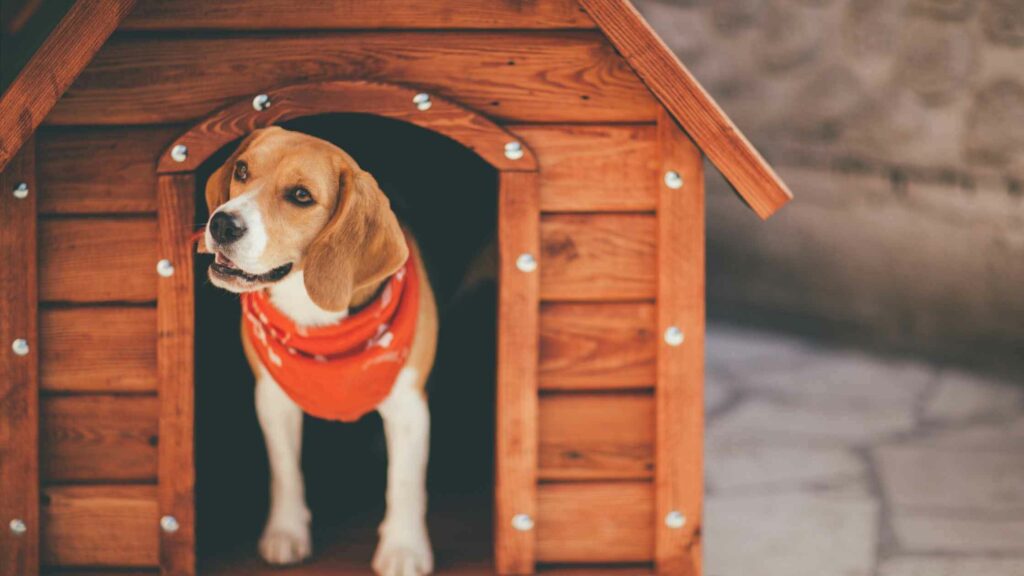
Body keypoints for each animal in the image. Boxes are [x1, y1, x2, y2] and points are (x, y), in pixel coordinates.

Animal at [202, 126, 436, 573]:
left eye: (301, 196)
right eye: (242, 170)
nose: (221, 223)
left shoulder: (408, 405)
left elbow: (404, 481)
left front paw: (403, 548)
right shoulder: (272, 396)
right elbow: (284, 470)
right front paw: (286, 532)